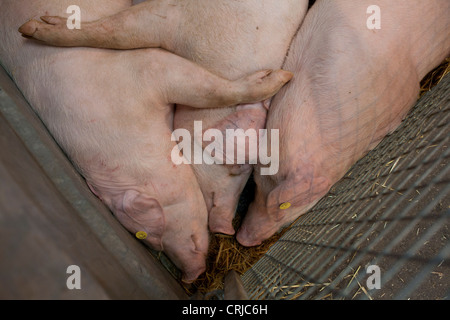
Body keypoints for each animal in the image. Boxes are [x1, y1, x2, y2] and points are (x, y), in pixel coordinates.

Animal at [1, 0, 294, 282]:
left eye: (242, 171)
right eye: (147, 238)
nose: (190, 276)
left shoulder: (152, 63)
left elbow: (118, 33)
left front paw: (282, 77)